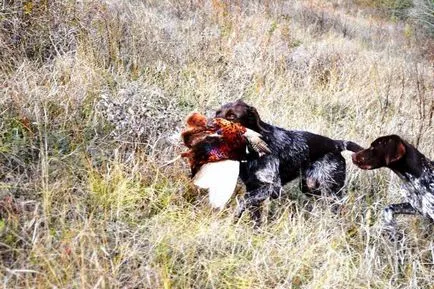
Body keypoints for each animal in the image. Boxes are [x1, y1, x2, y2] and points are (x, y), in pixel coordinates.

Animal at [216, 99, 362, 223]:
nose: (213, 126)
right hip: (310, 187)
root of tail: (336, 144)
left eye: (232, 116)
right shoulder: (253, 187)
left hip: (330, 192)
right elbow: (254, 214)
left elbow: (243, 201)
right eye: (217, 113)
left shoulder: (272, 188)